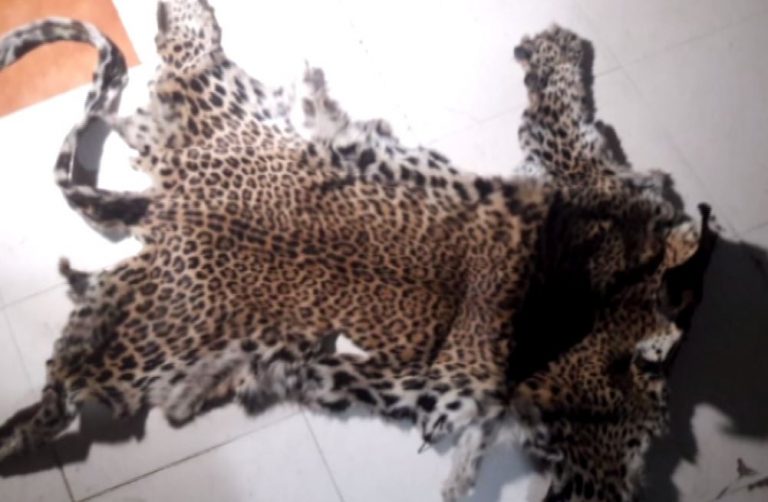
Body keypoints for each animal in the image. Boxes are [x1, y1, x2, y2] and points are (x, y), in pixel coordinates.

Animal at [0, 2, 715, 501]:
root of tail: (161, 206)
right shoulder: (573, 175)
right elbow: (564, 115)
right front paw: (556, 47)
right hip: (147, 323)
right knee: (188, 52)